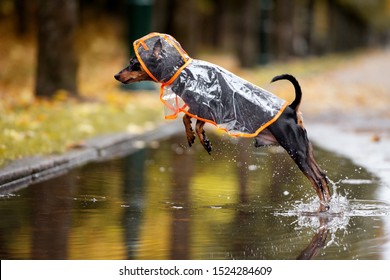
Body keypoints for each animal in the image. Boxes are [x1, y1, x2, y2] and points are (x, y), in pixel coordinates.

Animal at [114, 32, 330, 212]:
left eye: (134, 63)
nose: (116, 75)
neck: (181, 71)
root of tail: (292, 109)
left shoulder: (203, 107)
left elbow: (186, 119)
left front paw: (193, 137)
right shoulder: (206, 111)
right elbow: (197, 123)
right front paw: (204, 140)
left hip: (295, 151)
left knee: (317, 181)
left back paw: (322, 207)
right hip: (305, 150)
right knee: (322, 177)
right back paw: (327, 204)